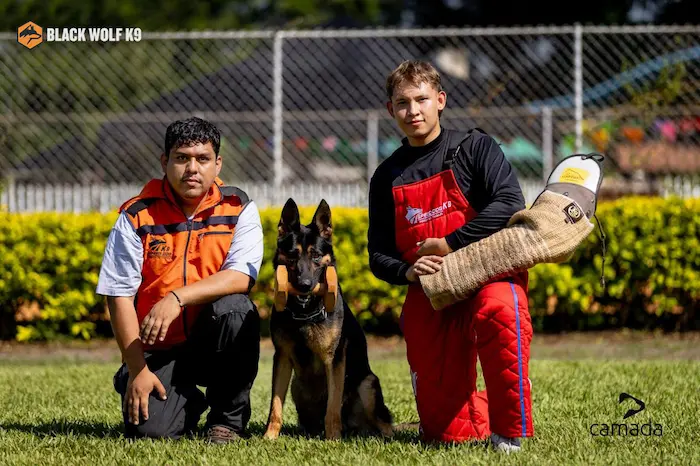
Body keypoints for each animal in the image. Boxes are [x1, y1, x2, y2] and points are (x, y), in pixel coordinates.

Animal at [262, 198, 394, 438]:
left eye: (315, 256)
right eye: (293, 255)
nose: (304, 285)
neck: (305, 313)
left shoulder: (334, 361)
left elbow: (332, 407)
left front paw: (333, 439)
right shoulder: (282, 358)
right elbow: (275, 405)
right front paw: (270, 437)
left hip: (368, 384)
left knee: (385, 424)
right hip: (296, 386)